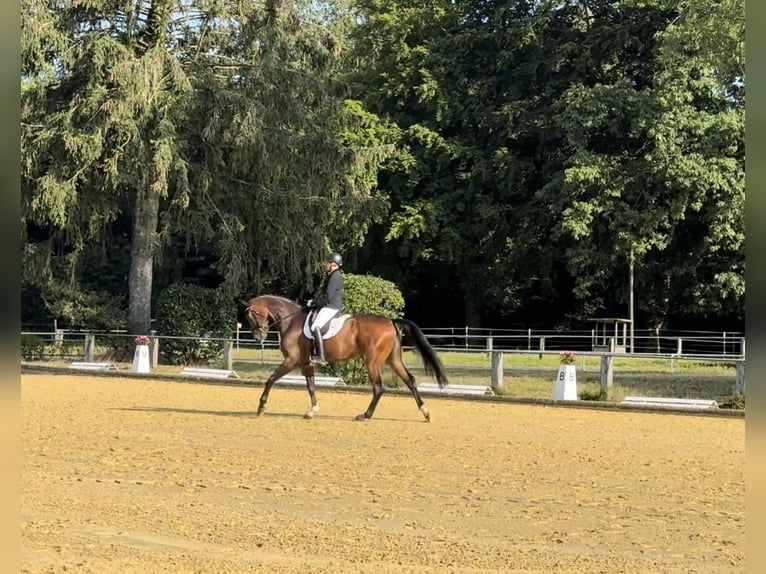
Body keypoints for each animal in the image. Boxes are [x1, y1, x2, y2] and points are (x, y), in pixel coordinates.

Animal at [242, 296, 450, 424]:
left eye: (250, 316)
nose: (258, 337)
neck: (291, 322)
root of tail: (390, 321)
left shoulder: (291, 361)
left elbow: (271, 379)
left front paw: (261, 407)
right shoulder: (306, 363)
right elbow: (311, 387)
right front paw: (312, 411)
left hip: (372, 362)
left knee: (379, 388)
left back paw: (365, 415)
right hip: (393, 360)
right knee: (410, 381)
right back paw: (425, 413)